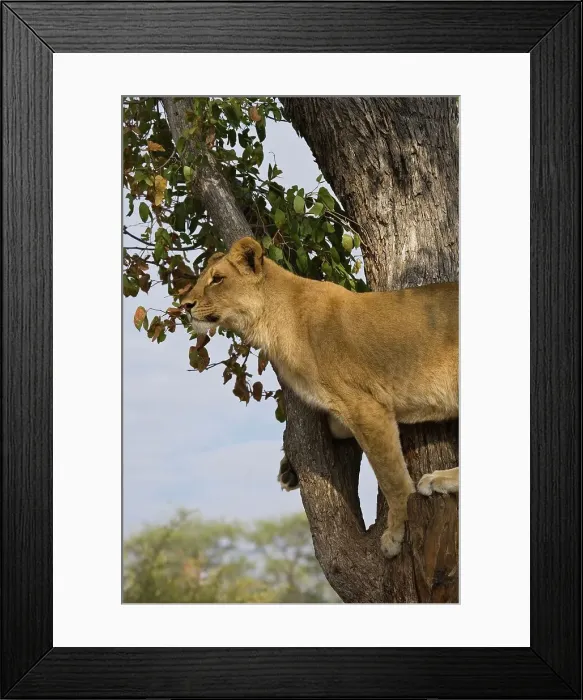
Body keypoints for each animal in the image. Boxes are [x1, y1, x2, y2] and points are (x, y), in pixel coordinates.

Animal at [180, 237, 459, 558]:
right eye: (203, 278)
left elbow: (392, 477)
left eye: (217, 279)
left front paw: (395, 533)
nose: (184, 305)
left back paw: (438, 479)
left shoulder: (366, 405)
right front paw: (288, 468)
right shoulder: (343, 407)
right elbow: (332, 427)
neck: (273, 321)